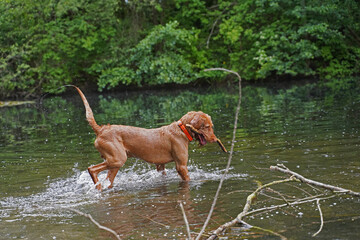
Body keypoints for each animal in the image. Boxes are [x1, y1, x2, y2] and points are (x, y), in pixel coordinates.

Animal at [69, 86, 226, 189]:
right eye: (207, 127)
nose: (215, 139)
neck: (181, 130)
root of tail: (101, 129)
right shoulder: (181, 166)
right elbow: (187, 178)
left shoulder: (160, 166)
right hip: (118, 159)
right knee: (92, 169)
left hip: (115, 163)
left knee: (107, 179)